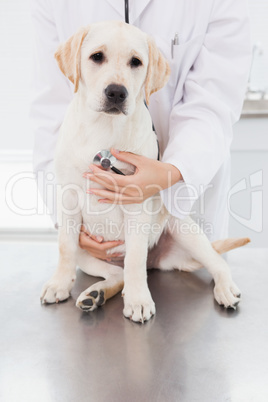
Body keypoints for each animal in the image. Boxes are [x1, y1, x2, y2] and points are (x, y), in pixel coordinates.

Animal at [40, 21, 250, 324]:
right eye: (96, 57)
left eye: (136, 62)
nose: (117, 92)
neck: (104, 127)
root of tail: (159, 262)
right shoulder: (67, 200)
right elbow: (65, 247)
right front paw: (59, 283)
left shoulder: (136, 203)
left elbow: (135, 258)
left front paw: (139, 299)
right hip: (89, 255)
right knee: (116, 274)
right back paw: (95, 294)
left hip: (181, 226)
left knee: (214, 261)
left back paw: (225, 289)